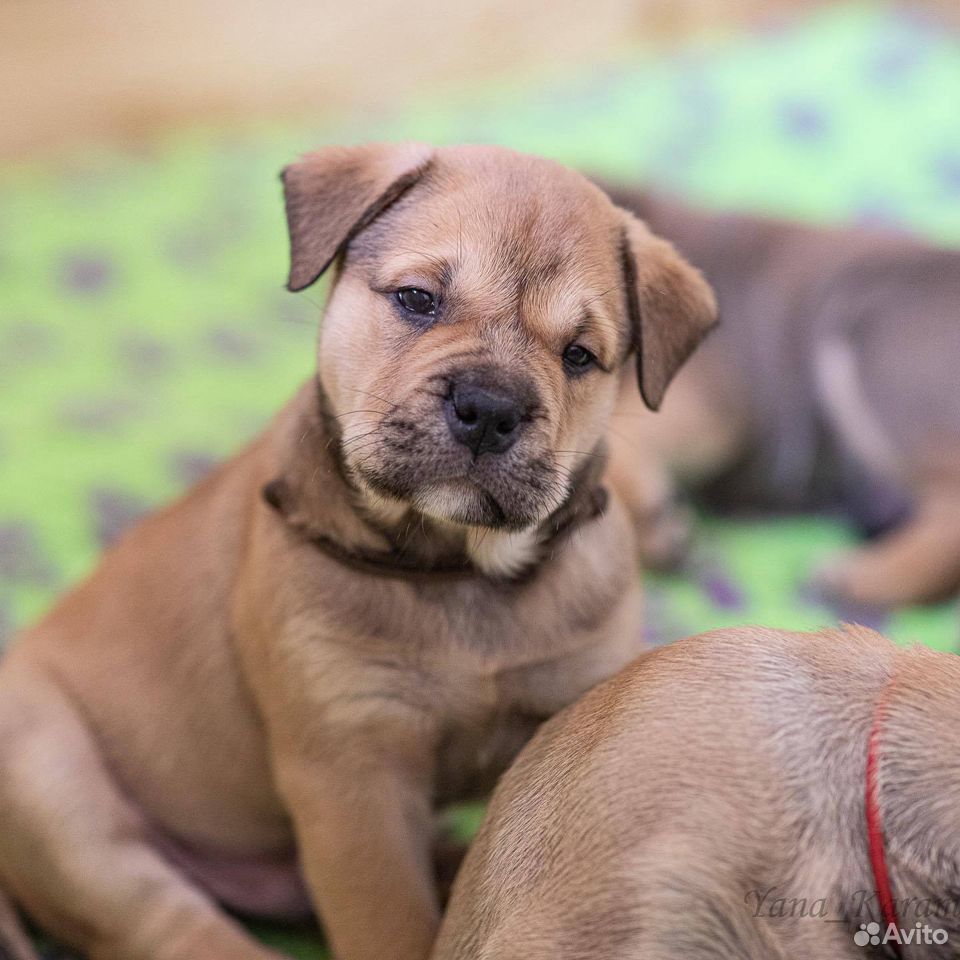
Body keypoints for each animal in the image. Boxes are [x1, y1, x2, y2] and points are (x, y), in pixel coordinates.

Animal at [0, 142, 716, 960]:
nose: (490, 408)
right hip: (60, 795)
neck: (453, 564)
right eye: (417, 300)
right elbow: (392, 924)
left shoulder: (568, 709)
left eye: (580, 356)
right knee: (170, 923)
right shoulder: (353, 778)